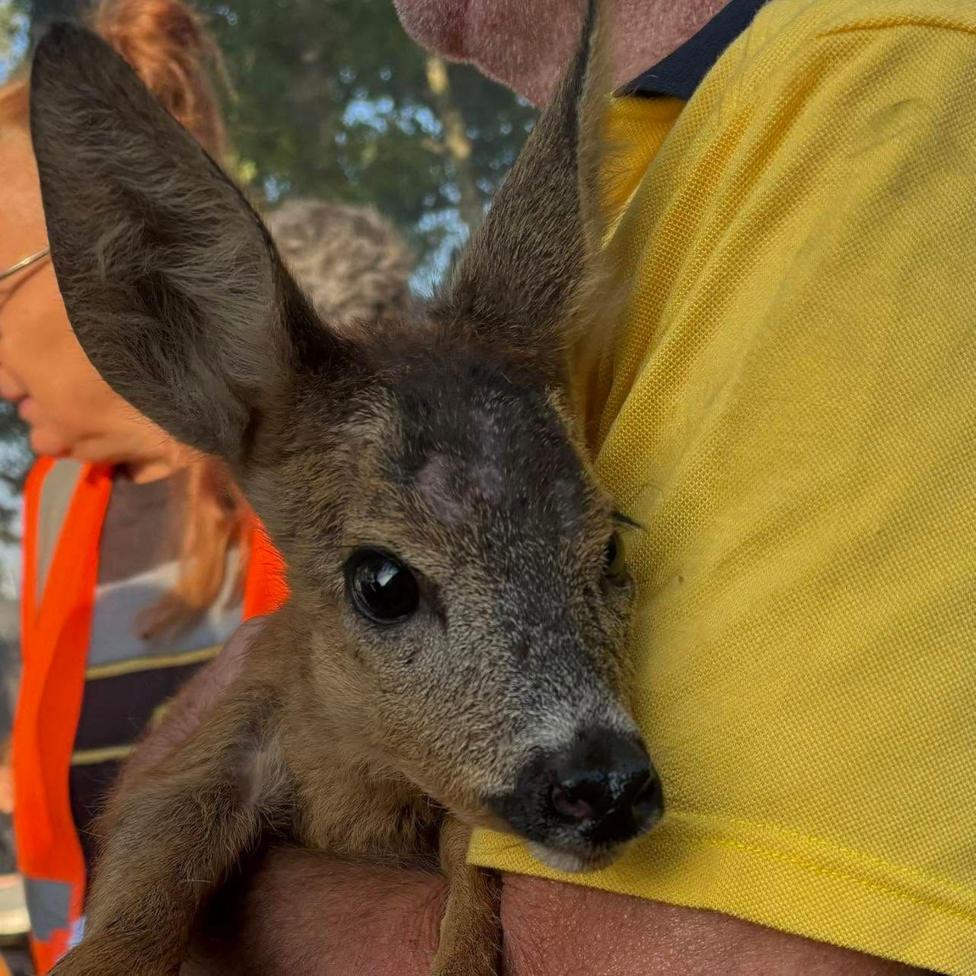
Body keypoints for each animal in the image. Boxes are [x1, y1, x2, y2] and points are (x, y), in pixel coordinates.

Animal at [29, 4, 663, 974]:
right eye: (382, 581)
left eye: (611, 542)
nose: (606, 783)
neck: (359, 789)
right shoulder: (210, 750)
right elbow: (142, 892)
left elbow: (470, 875)